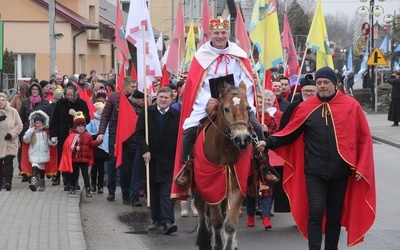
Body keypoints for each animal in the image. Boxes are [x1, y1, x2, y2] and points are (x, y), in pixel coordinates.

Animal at [191, 81, 253, 249]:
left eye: (248, 108)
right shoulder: (211, 185)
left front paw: (229, 244)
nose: (242, 139)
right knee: (200, 206)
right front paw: (217, 244)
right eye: (226, 108)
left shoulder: (237, 185)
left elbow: (230, 223)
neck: (225, 151)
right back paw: (203, 237)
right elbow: (217, 221)